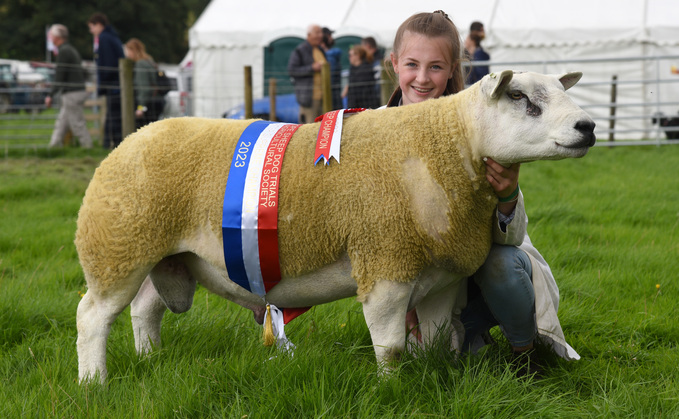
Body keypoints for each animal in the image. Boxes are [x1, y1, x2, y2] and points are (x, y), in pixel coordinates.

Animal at [75, 69, 596, 384]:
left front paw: (431, 375)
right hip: (117, 248)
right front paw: (391, 387)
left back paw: (150, 359)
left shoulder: (442, 276)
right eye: (521, 98)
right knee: (93, 316)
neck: (444, 145)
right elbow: (389, 344)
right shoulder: (384, 259)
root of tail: (133, 137)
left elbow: (432, 338)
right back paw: (94, 382)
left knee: (145, 309)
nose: (588, 127)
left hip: (163, 254)